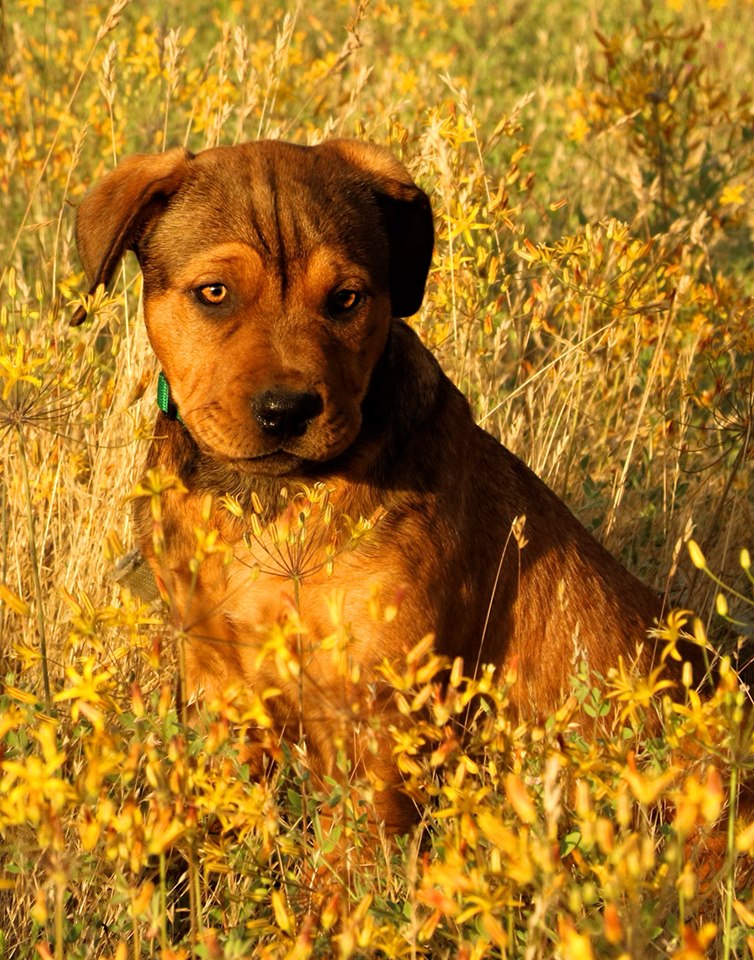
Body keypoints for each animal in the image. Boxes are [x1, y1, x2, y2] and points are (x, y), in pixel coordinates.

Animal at [75, 141, 676, 832]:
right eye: (215, 293)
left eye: (346, 300)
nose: (287, 411)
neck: (266, 501)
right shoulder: (214, 679)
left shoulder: (377, 709)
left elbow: (355, 845)